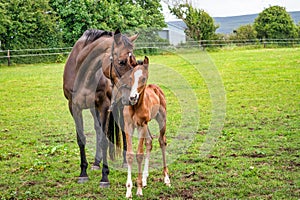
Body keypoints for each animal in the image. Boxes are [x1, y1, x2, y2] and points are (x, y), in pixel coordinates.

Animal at [63, 29, 139, 188]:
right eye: (121, 62)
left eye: (134, 61)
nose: (133, 95)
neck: (83, 74)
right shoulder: (74, 107)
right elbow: (82, 139)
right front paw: (83, 173)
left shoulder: (104, 106)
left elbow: (105, 140)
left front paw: (105, 177)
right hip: (94, 109)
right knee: (98, 129)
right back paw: (96, 163)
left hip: (120, 106)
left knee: (123, 130)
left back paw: (124, 162)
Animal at [118, 57, 171, 198]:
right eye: (131, 77)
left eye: (143, 78)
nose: (132, 97)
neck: (135, 107)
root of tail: (156, 88)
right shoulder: (129, 126)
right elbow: (130, 155)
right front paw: (129, 190)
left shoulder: (141, 125)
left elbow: (139, 154)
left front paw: (139, 190)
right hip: (146, 125)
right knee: (149, 141)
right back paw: (145, 178)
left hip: (161, 120)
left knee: (162, 141)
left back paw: (166, 179)